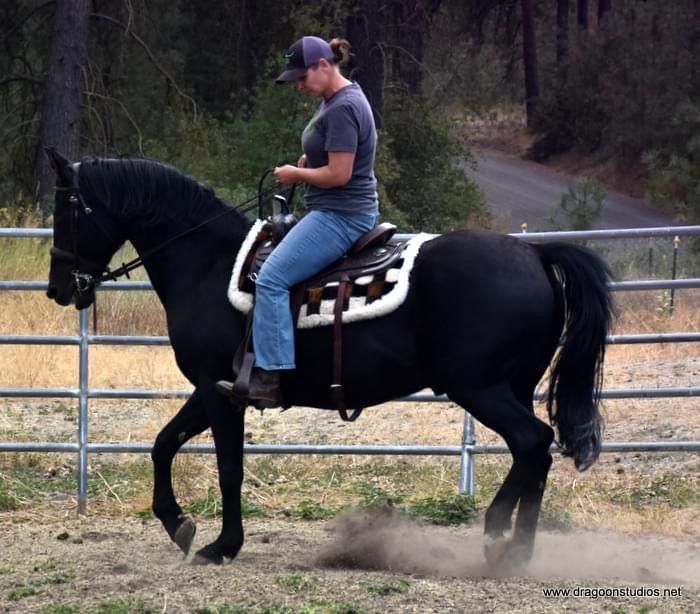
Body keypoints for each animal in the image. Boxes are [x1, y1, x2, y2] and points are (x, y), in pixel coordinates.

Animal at [45, 149, 614, 568]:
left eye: (67, 210)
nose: (58, 289)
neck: (207, 263)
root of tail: (534, 252)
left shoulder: (218, 390)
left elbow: (228, 467)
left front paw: (222, 545)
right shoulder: (213, 389)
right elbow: (164, 444)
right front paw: (177, 523)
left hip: (482, 388)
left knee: (532, 442)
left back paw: (498, 537)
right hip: (513, 386)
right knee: (533, 453)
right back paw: (518, 551)